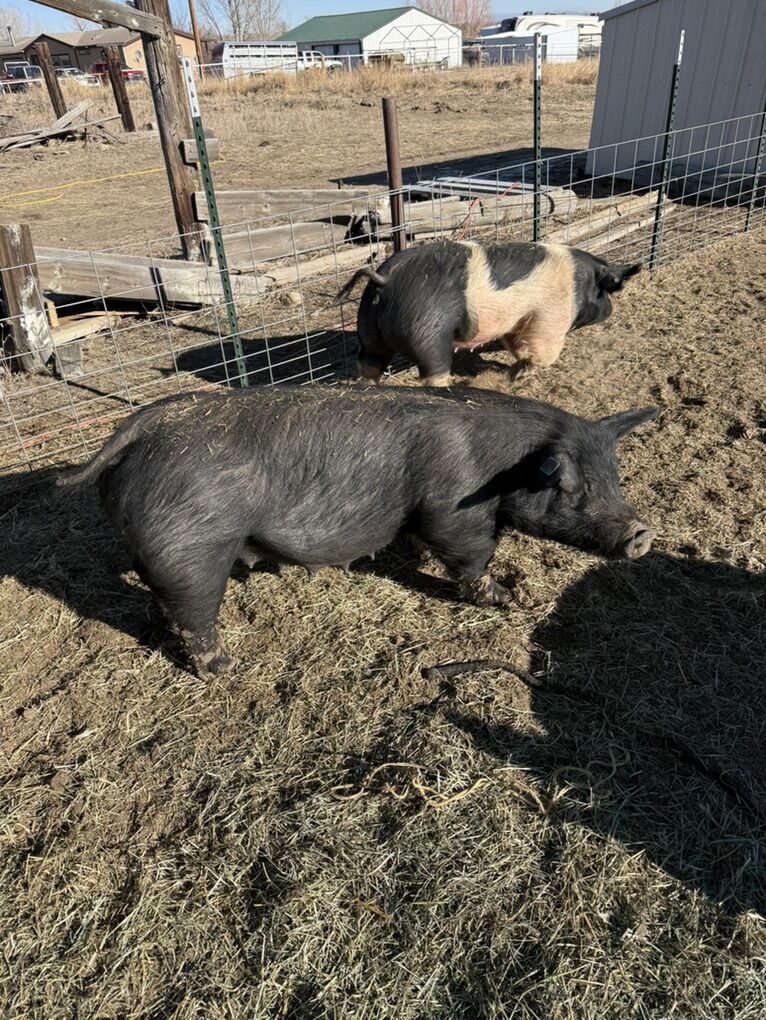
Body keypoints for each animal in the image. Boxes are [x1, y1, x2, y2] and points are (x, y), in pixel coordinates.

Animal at [57, 385, 658, 676]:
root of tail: (133, 433)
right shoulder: (453, 507)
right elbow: (470, 554)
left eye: (615, 477)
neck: (501, 467)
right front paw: (507, 598)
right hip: (193, 550)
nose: (643, 533)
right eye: (573, 489)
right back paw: (226, 670)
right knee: (195, 616)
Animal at [334, 240, 641, 385]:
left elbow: (518, 345)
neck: (579, 281)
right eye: (604, 292)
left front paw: (515, 370)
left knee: (369, 366)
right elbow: (542, 353)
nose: (611, 310)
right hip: (429, 331)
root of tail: (385, 279)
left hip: (368, 332)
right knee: (434, 372)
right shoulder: (550, 316)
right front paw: (517, 376)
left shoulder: (518, 320)